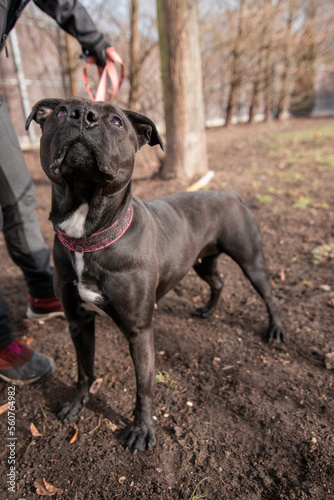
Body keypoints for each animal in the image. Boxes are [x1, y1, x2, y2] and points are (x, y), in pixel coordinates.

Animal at [25, 97, 284, 454]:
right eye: (62, 111)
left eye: (117, 121)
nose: (82, 116)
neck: (88, 236)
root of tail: (230, 193)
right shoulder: (78, 322)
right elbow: (84, 370)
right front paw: (76, 404)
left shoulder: (140, 332)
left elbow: (143, 385)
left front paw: (141, 429)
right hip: (201, 262)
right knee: (218, 281)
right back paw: (208, 310)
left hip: (251, 260)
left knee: (269, 294)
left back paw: (276, 330)